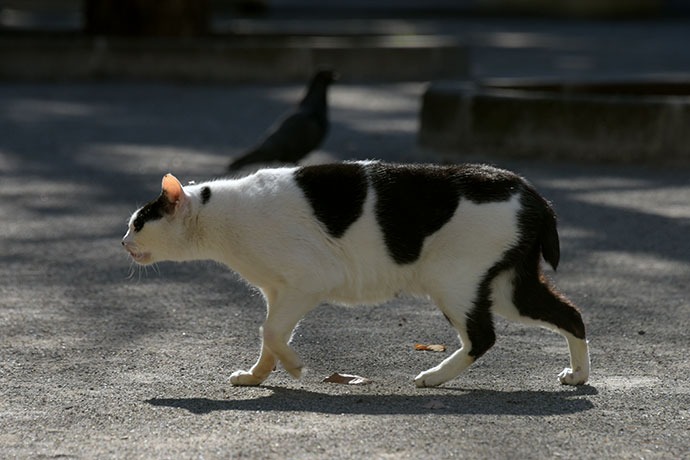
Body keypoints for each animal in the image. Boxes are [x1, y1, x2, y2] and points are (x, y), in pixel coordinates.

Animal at [121, 162, 588, 388]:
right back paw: (579, 375)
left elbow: (270, 333)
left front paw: (295, 368)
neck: (222, 216)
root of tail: (533, 194)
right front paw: (258, 376)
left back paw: (434, 377)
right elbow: (269, 336)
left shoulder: (307, 282)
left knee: (482, 336)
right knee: (572, 315)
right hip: (509, 289)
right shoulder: (277, 292)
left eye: (139, 223)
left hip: (455, 283)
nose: (122, 241)